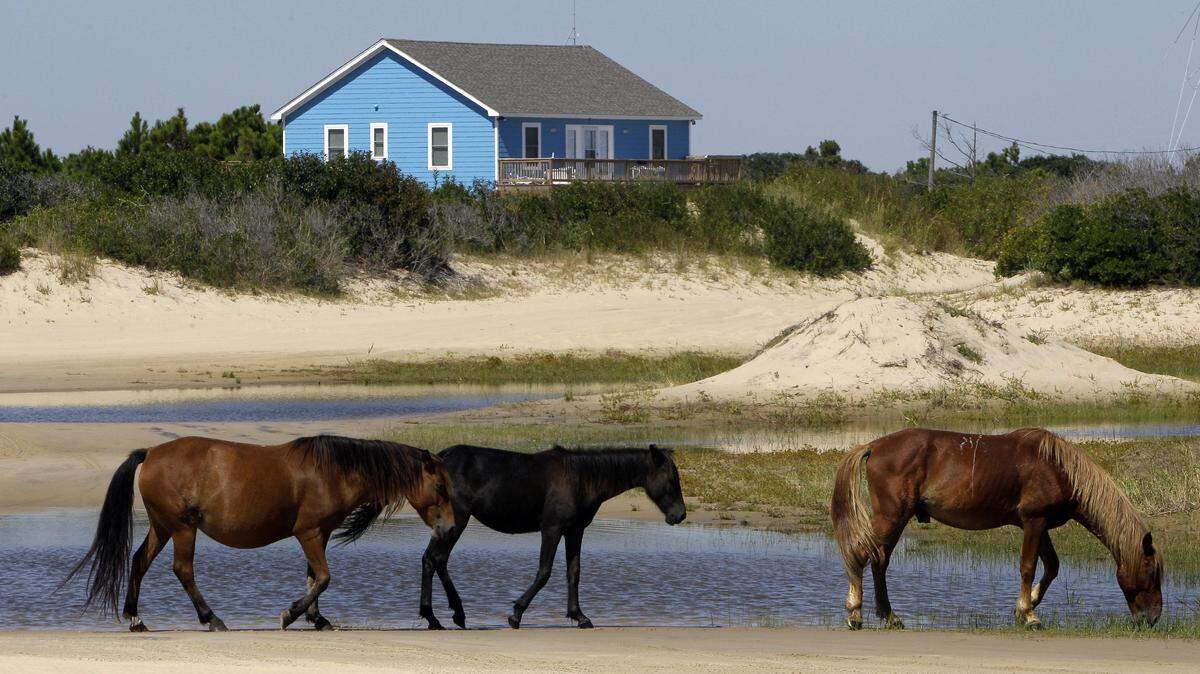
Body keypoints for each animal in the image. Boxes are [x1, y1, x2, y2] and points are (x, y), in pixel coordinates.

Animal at [64, 435, 455, 632]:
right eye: (439, 486)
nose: (449, 528)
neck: (334, 471)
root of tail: (151, 452)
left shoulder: (320, 535)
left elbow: (314, 578)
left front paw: (317, 618)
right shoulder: (309, 533)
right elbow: (324, 577)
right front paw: (291, 615)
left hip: (163, 527)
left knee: (139, 562)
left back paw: (136, 618)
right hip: (183, 528)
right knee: (183, 570)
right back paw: (211, 618)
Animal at [336, 443, 687, 630]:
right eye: (671, 479)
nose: (680, 515)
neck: (582, 478)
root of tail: (436, 459)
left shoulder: (575, 530)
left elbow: (574, 572)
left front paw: (580, 616)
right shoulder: (552, 528)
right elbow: (544, 572)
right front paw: (516, 613)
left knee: (434, 560)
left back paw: (444, 615)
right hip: (456, 520)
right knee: (435, 559)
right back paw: (445, 615)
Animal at [831, 427, 1163, 630]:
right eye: (1151, 573)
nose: (1153, 618)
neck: (1058, 468)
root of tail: (873, 446)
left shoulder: (1040, 526)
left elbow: (1051, 567)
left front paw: (1027, 605)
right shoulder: (1034, 522)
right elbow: (1029, 566)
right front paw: (1029, 614)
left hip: (895, 521)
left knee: (879, 561)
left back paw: (889, 616)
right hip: (891, 517)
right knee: (861, 554)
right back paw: (855, 613)